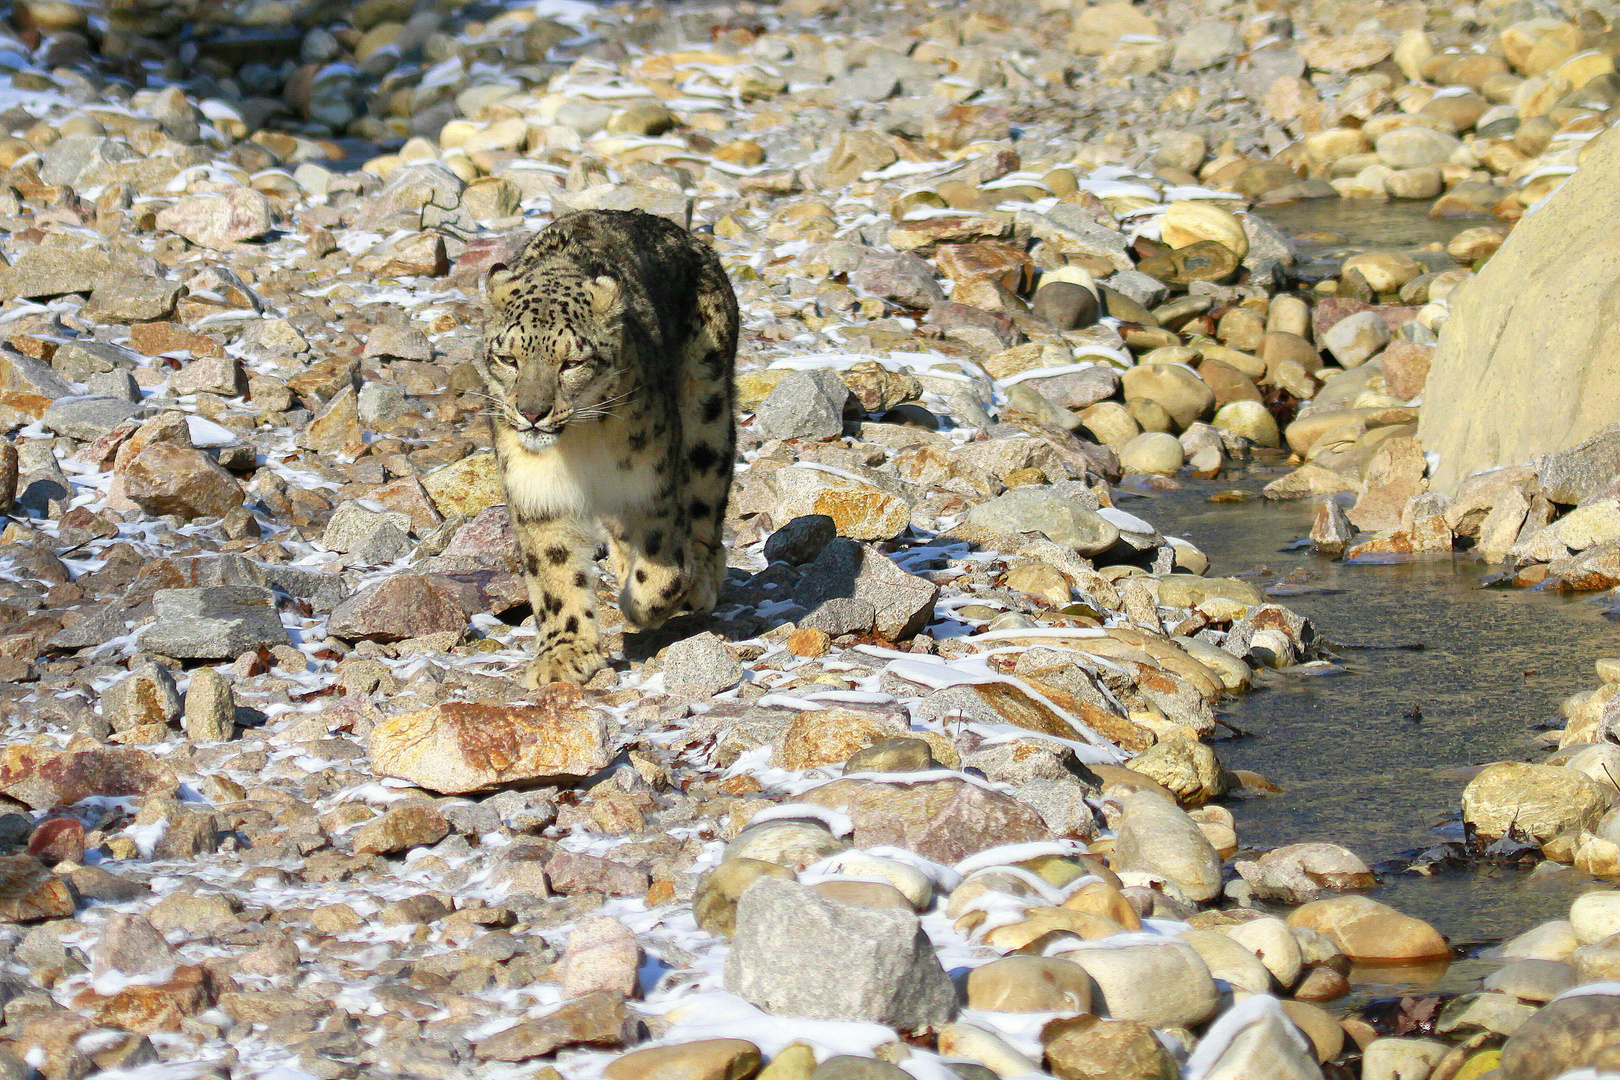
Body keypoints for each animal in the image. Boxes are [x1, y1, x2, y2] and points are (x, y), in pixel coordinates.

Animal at [476, 208, 738, 683]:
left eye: (571, 363)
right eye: (508, 358)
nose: (532, 412)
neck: (578, 446)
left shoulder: (651, 485)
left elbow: (665, 566)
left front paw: (641, 604)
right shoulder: (537, 491)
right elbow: (555, 572)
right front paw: (562, 657)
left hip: (707, 410)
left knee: (706, 501)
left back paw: (701, 582)